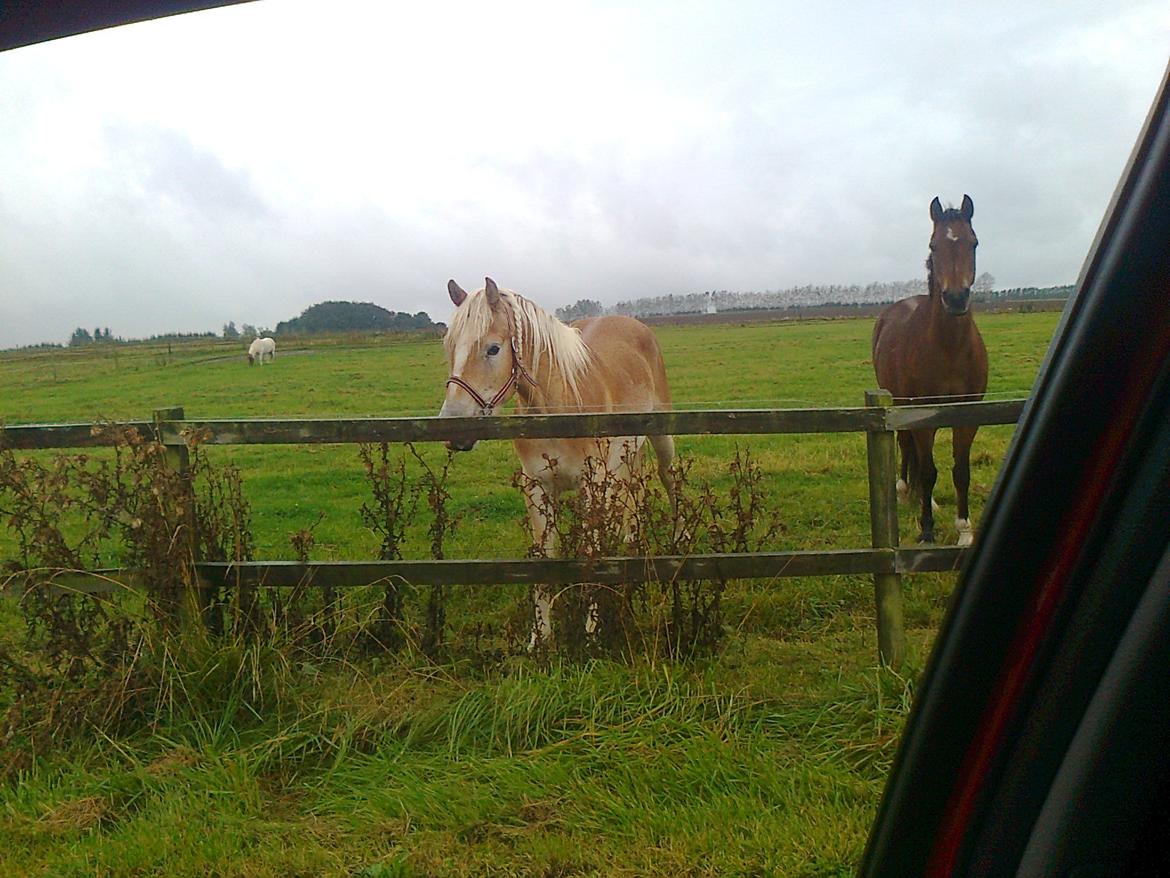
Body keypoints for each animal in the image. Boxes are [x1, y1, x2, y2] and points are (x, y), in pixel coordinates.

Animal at [439, 278, 678, 650]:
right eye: (449, 347)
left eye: (493, 349)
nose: (453, 431)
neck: (559, 406)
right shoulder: (538, 487)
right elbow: (545, 558)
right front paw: (540, 637)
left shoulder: (592, 485)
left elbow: (590, 553)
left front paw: (592, 632)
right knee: (632, 499)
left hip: (661, 434)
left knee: (669, 478)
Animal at [870, 195, 987, 547]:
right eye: (934, 245)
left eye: (973, 242)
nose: (956, 298)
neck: (949, 348)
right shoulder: (921, 414)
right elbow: (929, 469)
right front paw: (926, 530)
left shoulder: (968, 415)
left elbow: (960, 470)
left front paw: (964, 530)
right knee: (909, 449)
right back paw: (907, 489)